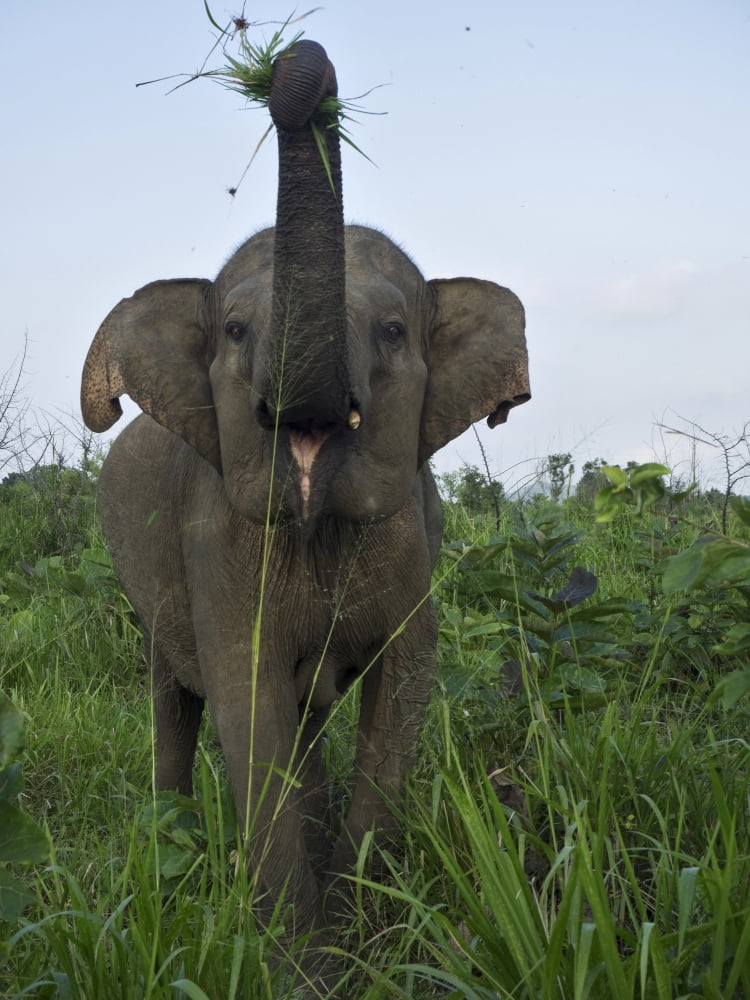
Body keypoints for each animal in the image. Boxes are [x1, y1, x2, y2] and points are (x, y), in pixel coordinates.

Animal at [80, 39, 530, 949]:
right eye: (234, 333)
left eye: (393, 332)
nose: (294, 66)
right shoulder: (215, 539)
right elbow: (247, 708)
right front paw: (301, 957)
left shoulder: (412, 542)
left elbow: (400, 689)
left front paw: (364, 936)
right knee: (173, 701)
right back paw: (172, 843)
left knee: (307, 714)